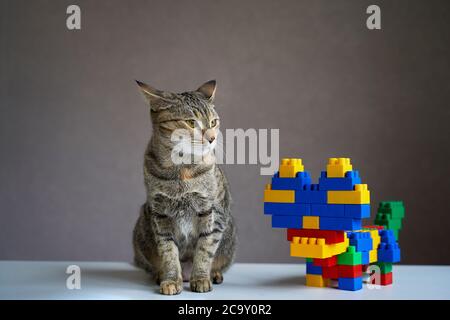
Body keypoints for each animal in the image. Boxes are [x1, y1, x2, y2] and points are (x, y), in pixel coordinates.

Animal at [132, 80, 237, 296]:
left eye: (213, 122)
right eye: (191, 123)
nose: (212, 138)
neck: (182, 171)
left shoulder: (213, 212)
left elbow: (205, 250)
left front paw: (201, 278)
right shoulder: (159, 214)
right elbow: (168, 252)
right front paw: (171, 279)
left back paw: (213, 274)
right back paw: (161, 274)